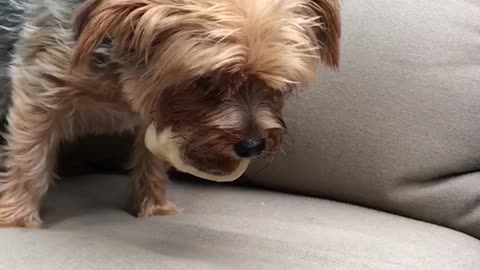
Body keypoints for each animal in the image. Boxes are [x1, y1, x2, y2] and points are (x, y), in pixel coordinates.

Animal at [0, 0, 342, 228]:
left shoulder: (156, 113)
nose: (252, 146)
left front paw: (154, 208)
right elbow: (29, 159)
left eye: (279, 85)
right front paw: (17, 218)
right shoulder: (41, 85)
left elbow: (151, 161)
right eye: (206, 82)